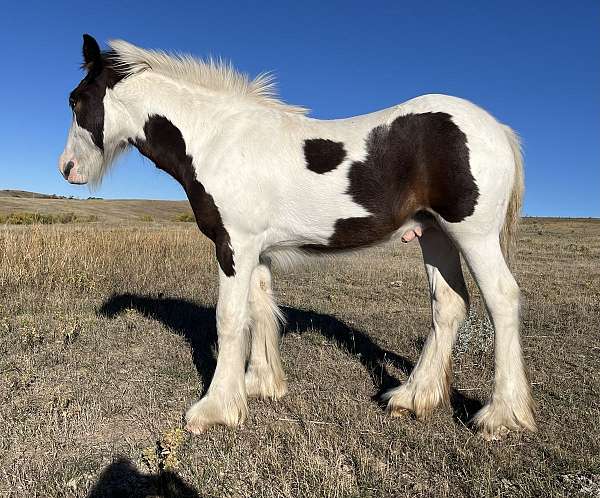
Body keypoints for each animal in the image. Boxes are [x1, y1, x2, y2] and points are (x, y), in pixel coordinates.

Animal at [58, 35, 536, 440]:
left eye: (75, 100)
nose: (67, 169)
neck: (217, 139)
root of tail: (497, 127)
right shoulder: (256, 251)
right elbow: (260, 310)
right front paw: (259, 385)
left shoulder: (234, 245)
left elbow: (230, 318)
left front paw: (214, 409)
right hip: (434, 234)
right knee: (449, 306)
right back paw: (411, 398)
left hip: (472, 234)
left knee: (501, 299)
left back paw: (500, 416)